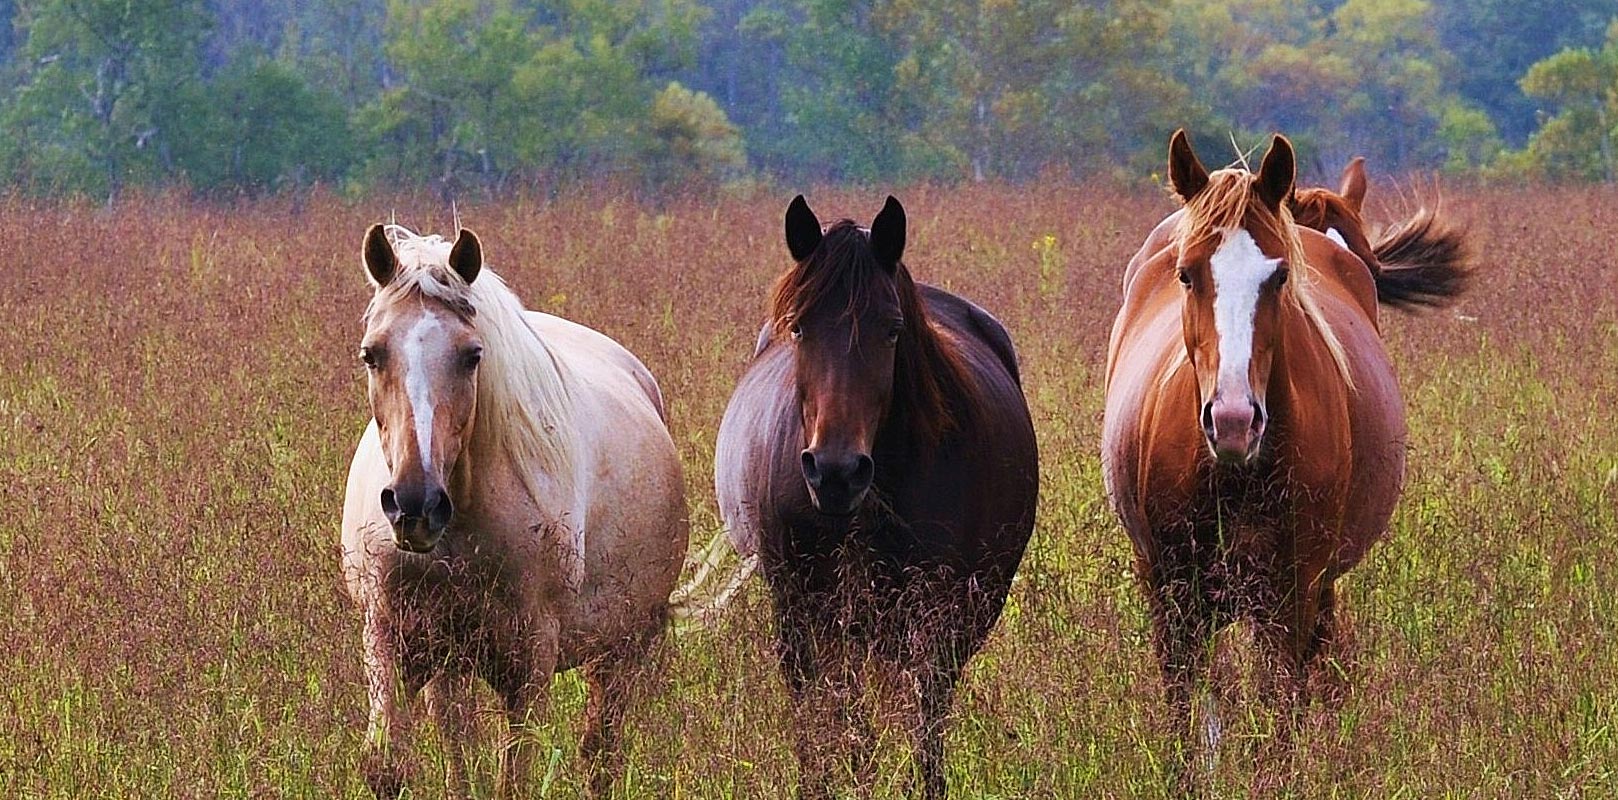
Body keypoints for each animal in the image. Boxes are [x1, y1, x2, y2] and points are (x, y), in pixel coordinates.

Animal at [344, 225, 686, 800]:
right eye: (373, 354)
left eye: (471, 355)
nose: (416, 505)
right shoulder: (389, 638)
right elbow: (388, 764)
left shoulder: (530, 662)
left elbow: (515, 777)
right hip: (451, 660)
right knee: (458, 741)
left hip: (623, 650)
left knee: (600, 755)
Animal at [718, 196, 1035, 796]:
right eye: (799, 328)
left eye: (891, 331)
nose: (836, 472)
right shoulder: (797, 608)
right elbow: (819, 723)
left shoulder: (936, 613)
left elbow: (923, 730)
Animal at [1100, 129, 1469, 767]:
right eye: (1186, 274)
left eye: (1277, 278)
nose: (1233, 420)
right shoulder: (1170, 587)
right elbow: (1186, 714)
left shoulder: (1293, 592)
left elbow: (1278, 714)